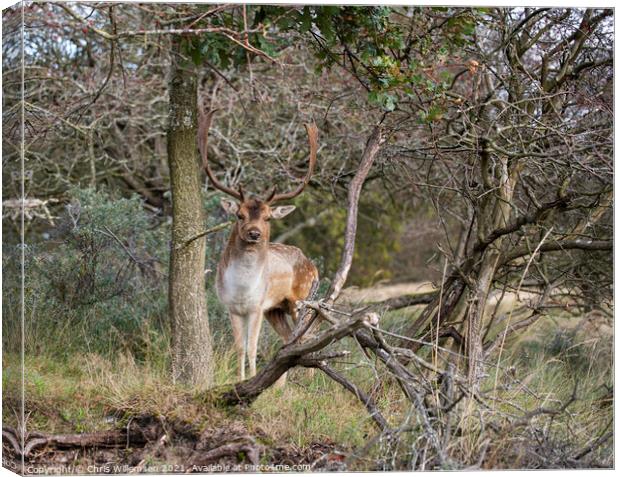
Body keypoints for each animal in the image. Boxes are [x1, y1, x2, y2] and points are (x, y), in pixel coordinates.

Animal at [199, 110, 320, 384]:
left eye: (267, 217)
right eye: (239, 215)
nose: (253, 233)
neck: (243, 290)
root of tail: (312, 265)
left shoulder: (256, 306)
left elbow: (252, 347)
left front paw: (252, 380)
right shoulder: (233, 307)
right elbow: (239, 347)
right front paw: (240, 380)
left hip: (302, 299)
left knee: (308, 337)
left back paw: (309, 382)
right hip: (275, 309)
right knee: (287, 340)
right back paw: (281, 386)